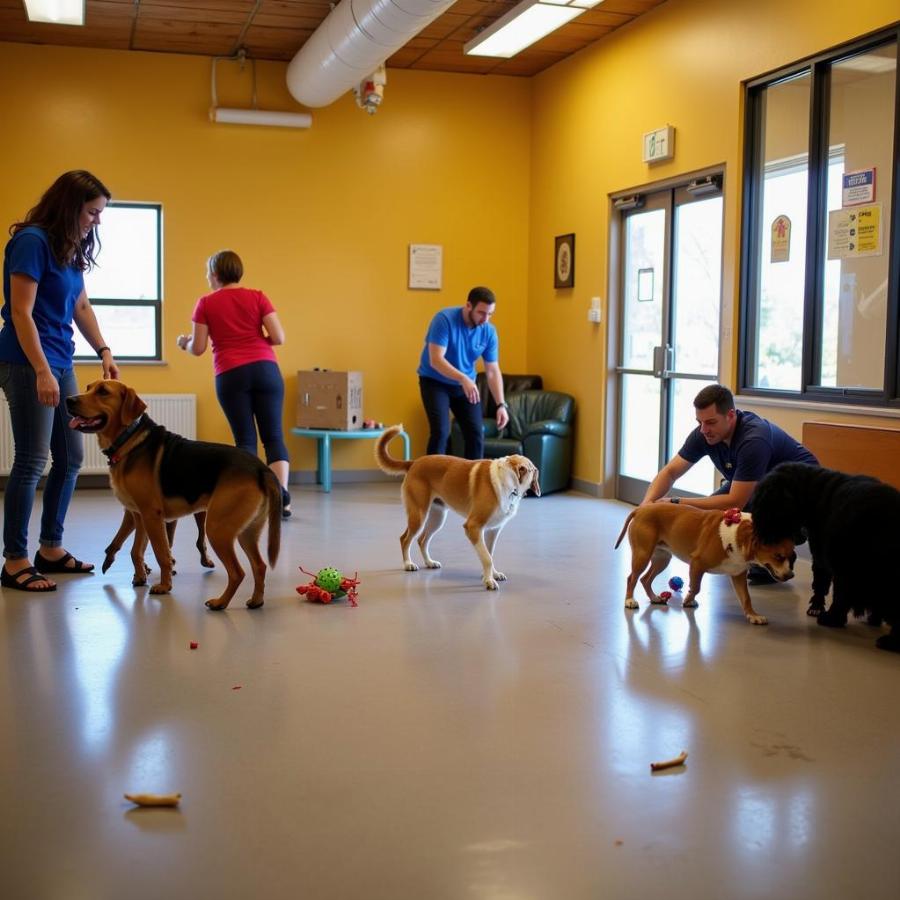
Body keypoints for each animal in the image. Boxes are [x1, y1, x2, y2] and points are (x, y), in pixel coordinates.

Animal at [67, 380, 280, 612]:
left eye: (103, 392)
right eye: (88, 388)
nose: (68, 400)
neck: (128, 439)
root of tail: (261, 469)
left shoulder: (152, 516)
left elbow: (162, 554)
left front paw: (165, 586)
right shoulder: (139, 516)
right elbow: (136, 550)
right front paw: (140, 577)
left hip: (217, 528)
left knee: (237, 572)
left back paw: (220, 602)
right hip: (247, 531)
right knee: (259, 566)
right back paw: (256, 600)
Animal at [374, 424, 540, 592]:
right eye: (532, 471)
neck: (508, 480)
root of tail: (414, 462)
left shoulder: (493, 530)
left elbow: (490, 554)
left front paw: (492, 575)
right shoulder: (473, 527)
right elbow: (487, 558)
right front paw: (489, 580)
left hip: (437, 518)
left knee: (422, 540)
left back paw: (429, 562)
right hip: (418, 515)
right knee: (405, 539)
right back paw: (408, 564)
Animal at [612, 502, 796, 624]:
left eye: (792, 557)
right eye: (778, 556)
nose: (790, 575)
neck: (738, 535)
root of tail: (642, 508)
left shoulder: (738, 574)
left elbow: (746, 598)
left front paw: (752, 614)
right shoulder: (697, 564)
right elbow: (696, 587)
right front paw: (688, 600)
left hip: (662, 559)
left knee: (645, 579)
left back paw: (654, 597)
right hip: (642, 555)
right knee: (632, 578)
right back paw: (629, 600)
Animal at [752, 464, 900, 652]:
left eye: (762, 503)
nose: (757, 530)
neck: (815, 492)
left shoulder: (833, 561)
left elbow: (832, 590)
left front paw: (830, 617)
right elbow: (823, 585)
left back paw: (890, 641)